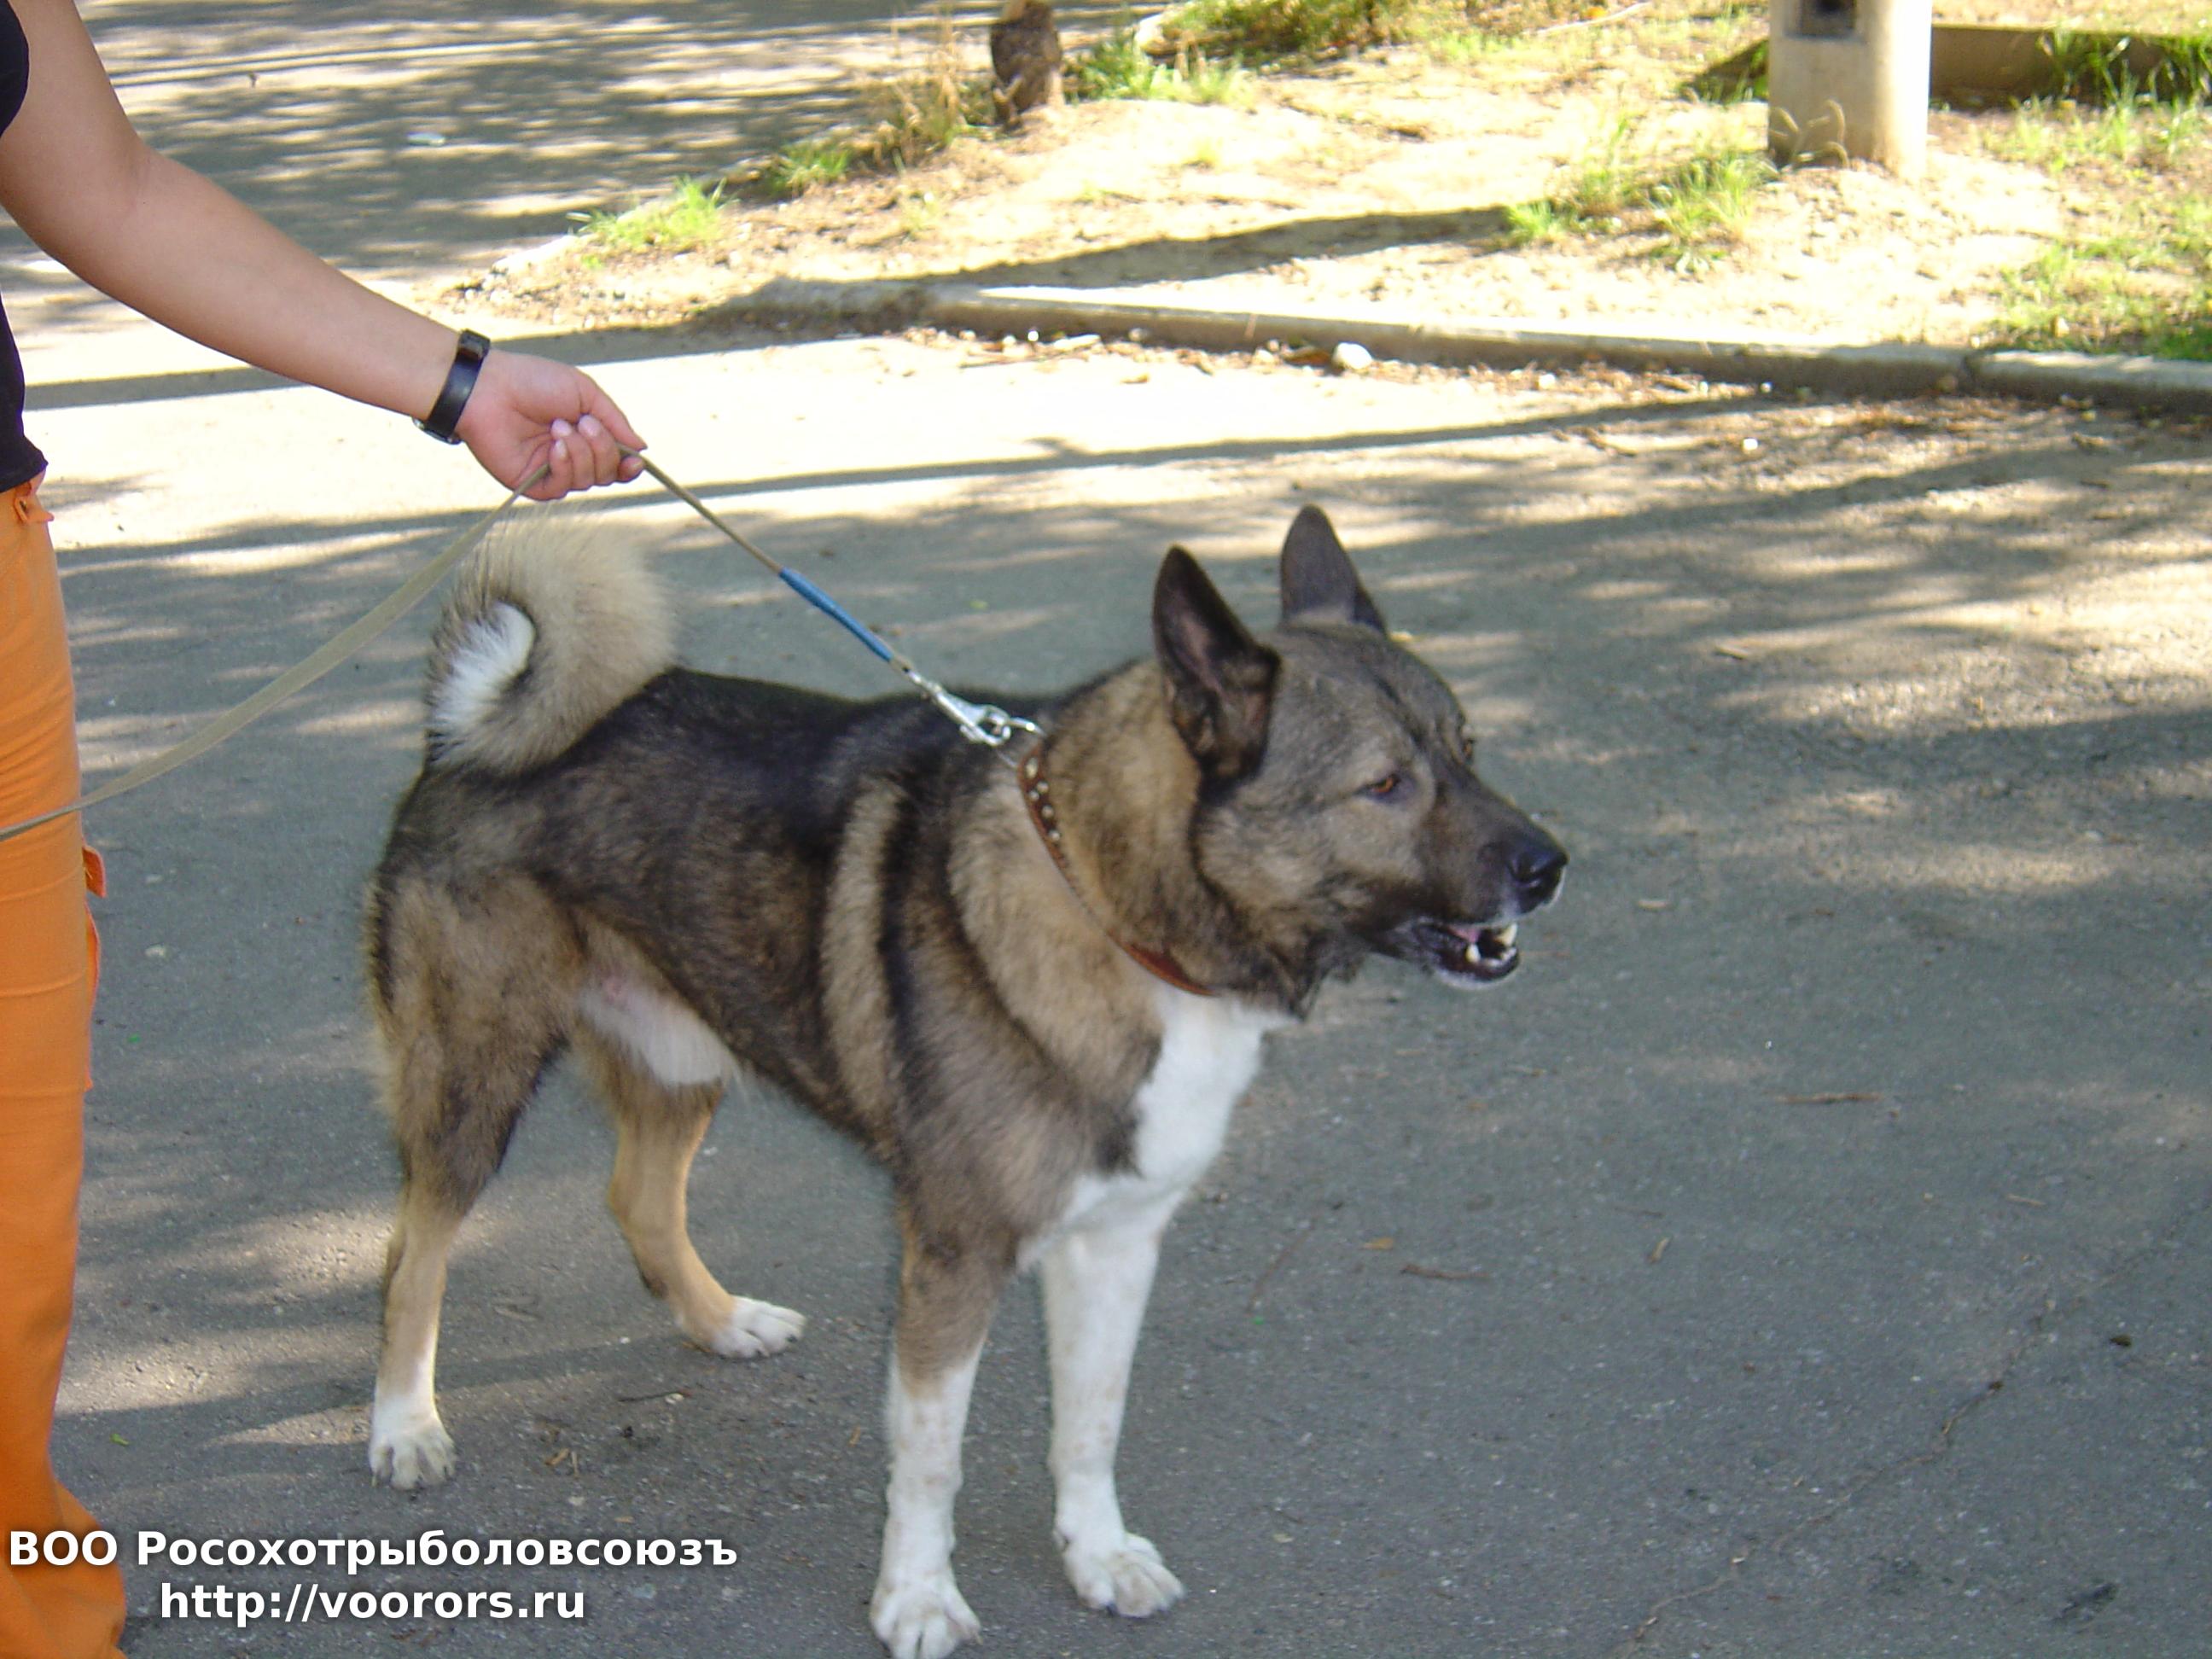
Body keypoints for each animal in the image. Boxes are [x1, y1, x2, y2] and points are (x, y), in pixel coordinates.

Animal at [363, 506, 1565, 1659]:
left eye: (1469, 750)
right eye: (1385, 785)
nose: (1551, 867)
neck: (1111, 904)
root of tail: (463, 729)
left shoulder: (1117, 1243)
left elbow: (1091, 1422)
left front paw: (1097, 1557)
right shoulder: (956, 1255)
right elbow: (932, 1459)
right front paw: (917, 1601)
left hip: (684, 1049)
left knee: (637, 1198)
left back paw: (717, 1321)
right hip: (474, 1079)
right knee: (416, 1252)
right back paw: (403, 1424)